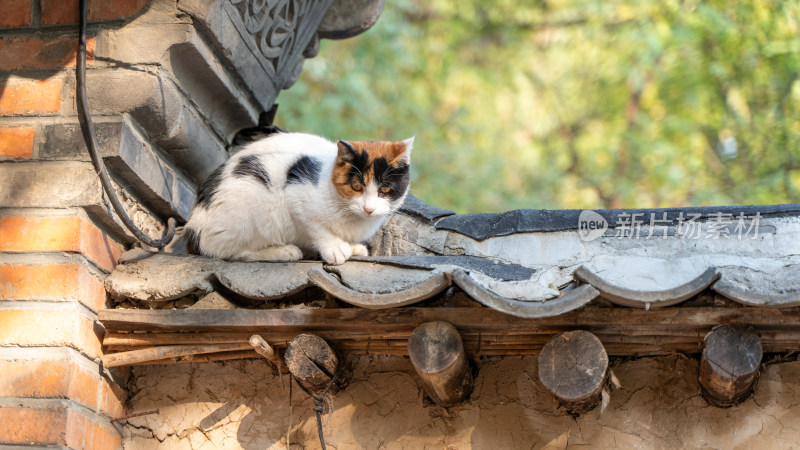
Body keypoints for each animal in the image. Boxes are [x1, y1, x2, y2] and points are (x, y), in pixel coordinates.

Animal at [183, 131, 412, 264]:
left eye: (385, 190)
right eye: (356, 186)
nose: (369, 209)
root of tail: (193, 227)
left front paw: (353, 247)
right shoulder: (296, 193)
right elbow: (316, 226)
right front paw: (334, 248)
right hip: (250, 203)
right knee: (228, 252)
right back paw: (285, 252)